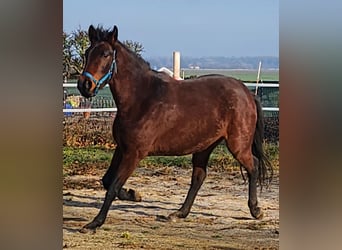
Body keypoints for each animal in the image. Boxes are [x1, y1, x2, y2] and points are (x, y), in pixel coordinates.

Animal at [77, 24, 272, 231]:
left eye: (106, 54)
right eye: (87, 53)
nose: (84, 85)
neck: (141, 99)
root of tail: (247, 93)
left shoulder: (134, 153)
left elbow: (113, 186)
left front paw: (95, 223)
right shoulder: (122, 149)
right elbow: (107, 181)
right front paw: (133, 194)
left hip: (238, 145)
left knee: (253, 166)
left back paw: (256, 210)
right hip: (205, 146)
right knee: (199, 177)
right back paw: (179, 214)